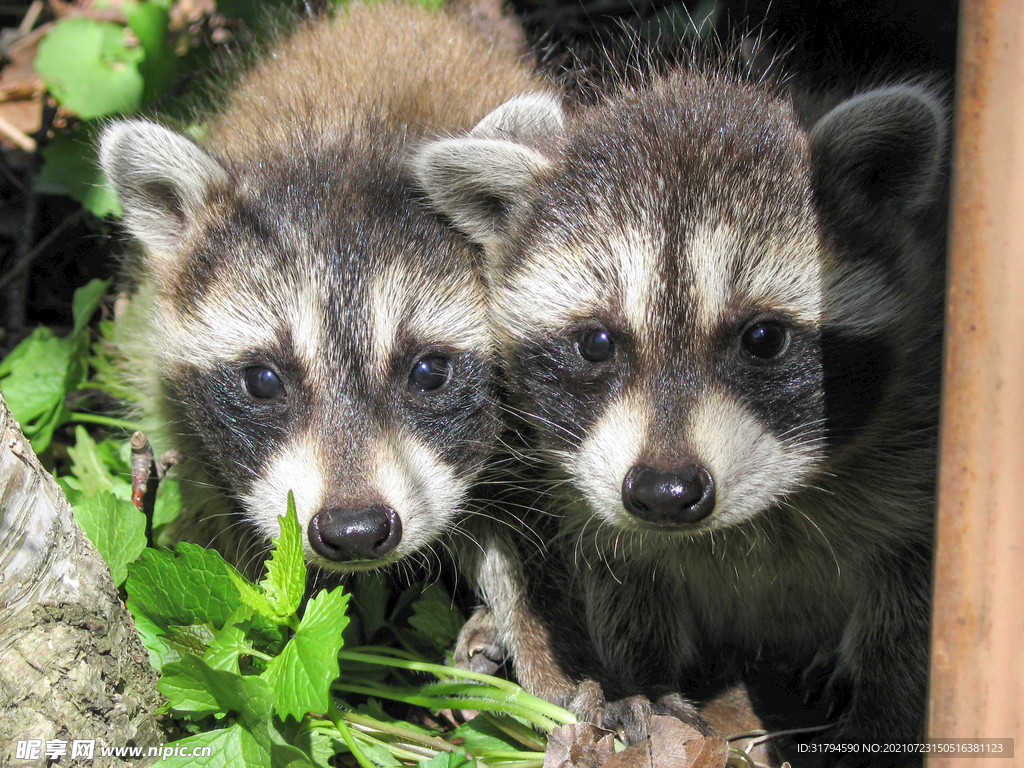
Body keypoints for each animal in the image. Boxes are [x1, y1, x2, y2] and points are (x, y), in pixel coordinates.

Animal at [411, 69, 946, 765]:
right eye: (596, 342)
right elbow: (620, 576)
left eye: (764, 339)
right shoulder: (585, 487)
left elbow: (912, 597)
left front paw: (886, 707)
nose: (664, 493)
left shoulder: (920, 427)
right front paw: (643, 677)